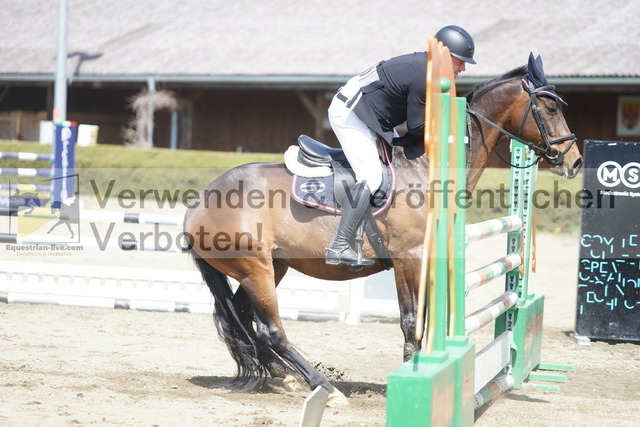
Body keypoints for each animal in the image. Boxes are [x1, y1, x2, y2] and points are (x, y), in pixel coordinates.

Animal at [184, 59, 584, 404]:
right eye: (550, 109)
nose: (575, 161)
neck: (427, 167)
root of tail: (199, 199)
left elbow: (425, 318)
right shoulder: (409, 258)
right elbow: (410, 320)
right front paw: (413, 370)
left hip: (270, 267)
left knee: (244, 319)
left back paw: (282, 375)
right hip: (256, 269)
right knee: (270, 330)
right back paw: (324, 386)